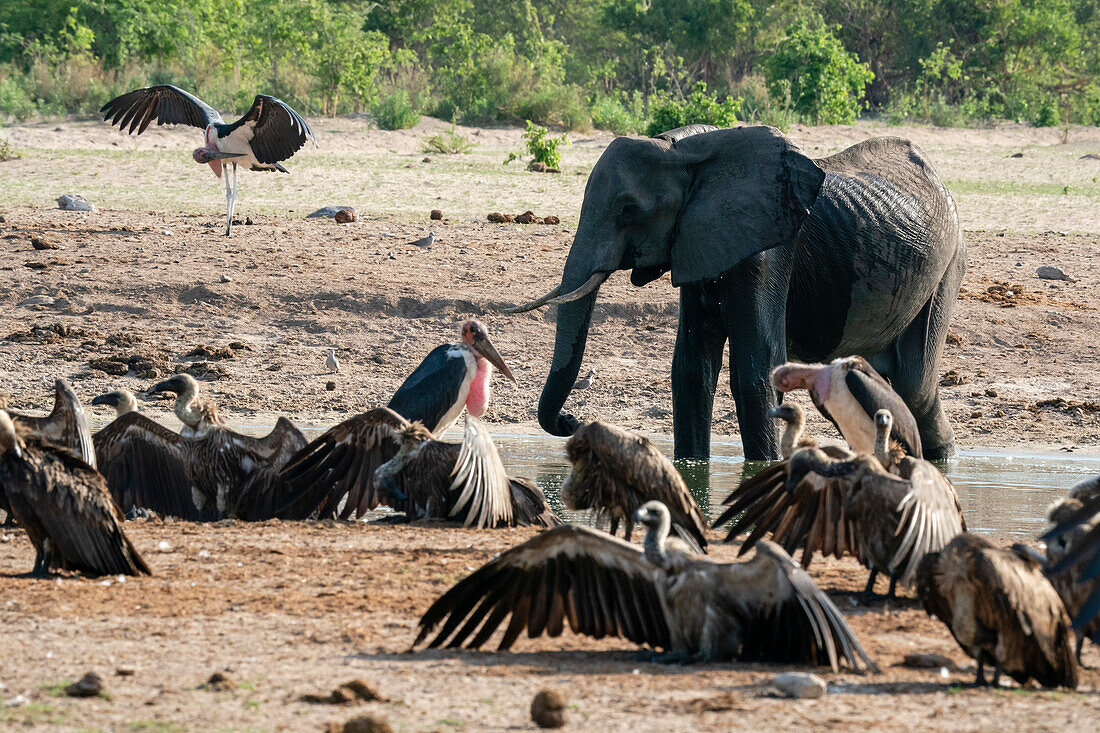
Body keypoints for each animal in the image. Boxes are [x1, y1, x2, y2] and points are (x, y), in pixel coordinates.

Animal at [506, 123, 963, 460]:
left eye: (628, 209)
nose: (571, 421)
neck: (687, 152)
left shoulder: (768, 249)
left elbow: (756, 365)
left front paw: (766, 466)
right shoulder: (696, 241)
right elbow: (692, 367)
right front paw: (691, 467)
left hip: (949, 263)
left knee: (915, 382)